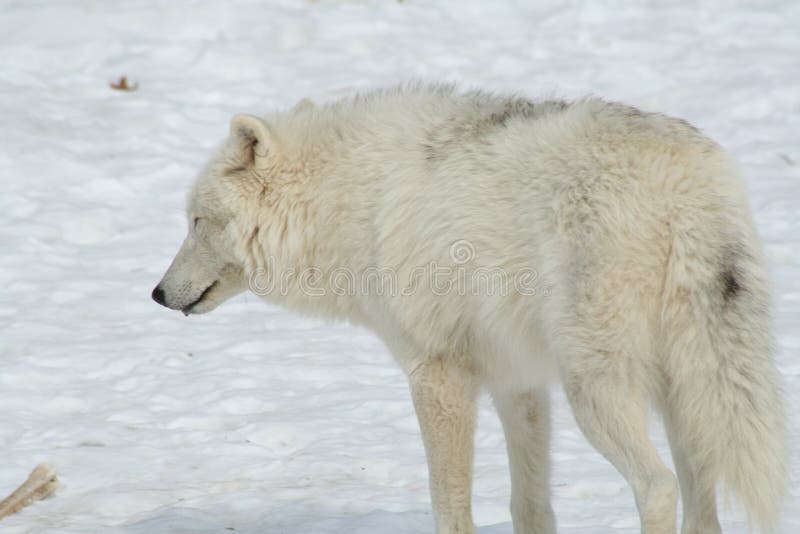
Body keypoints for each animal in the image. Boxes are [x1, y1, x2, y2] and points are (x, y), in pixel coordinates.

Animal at [152, 85, 788, 533]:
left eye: (197, 222)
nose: (157, 293)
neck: (349, 203)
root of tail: (683, 186)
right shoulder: (517, 382)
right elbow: (530, 507)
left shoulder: (437, 375)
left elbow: (450, 505)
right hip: (690, 390)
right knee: (701, 498)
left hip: (598, 390)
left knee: (657, 486)